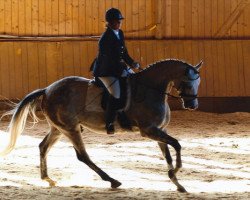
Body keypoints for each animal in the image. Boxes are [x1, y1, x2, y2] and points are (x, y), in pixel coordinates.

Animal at [0, 59, 202, 192]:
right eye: (187, 82)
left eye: (198, 82)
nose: (192, 105)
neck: (150, 89)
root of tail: (47, 89)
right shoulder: (149, 130)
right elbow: (177, 145)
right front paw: (175, 172)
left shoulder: (160, 130)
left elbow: (168, 154)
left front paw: (177, 183)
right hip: (71, 129)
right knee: (82, 156)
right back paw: (112, 181)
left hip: (58, 129)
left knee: (43, 147)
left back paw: (48, 179)